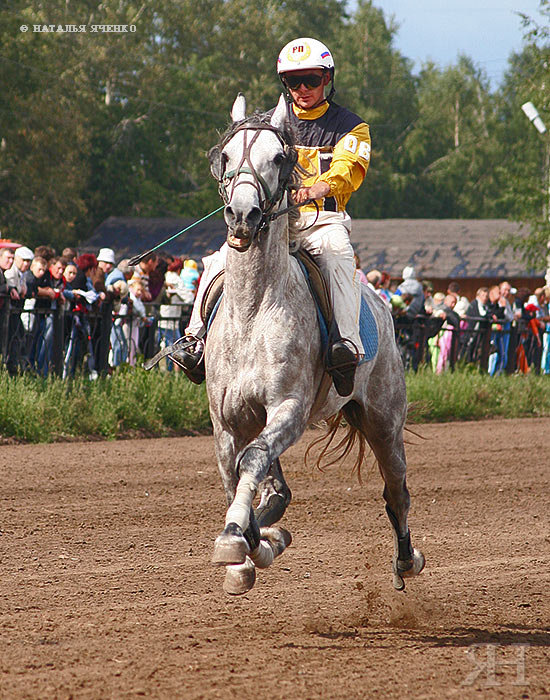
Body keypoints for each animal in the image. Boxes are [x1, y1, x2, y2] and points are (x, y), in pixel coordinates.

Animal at [205, 94, 424, 596]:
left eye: (278, 158)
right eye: (226, 156)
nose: (242, 216)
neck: (253, 312)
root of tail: (383, 305)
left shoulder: (288, 407)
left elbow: (253, 459)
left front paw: (237, 537)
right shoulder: (227, 422)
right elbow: (239, 471)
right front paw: (251, 546)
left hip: (384, 420)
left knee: (396, 492)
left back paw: (406, 561)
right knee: (277, 488)